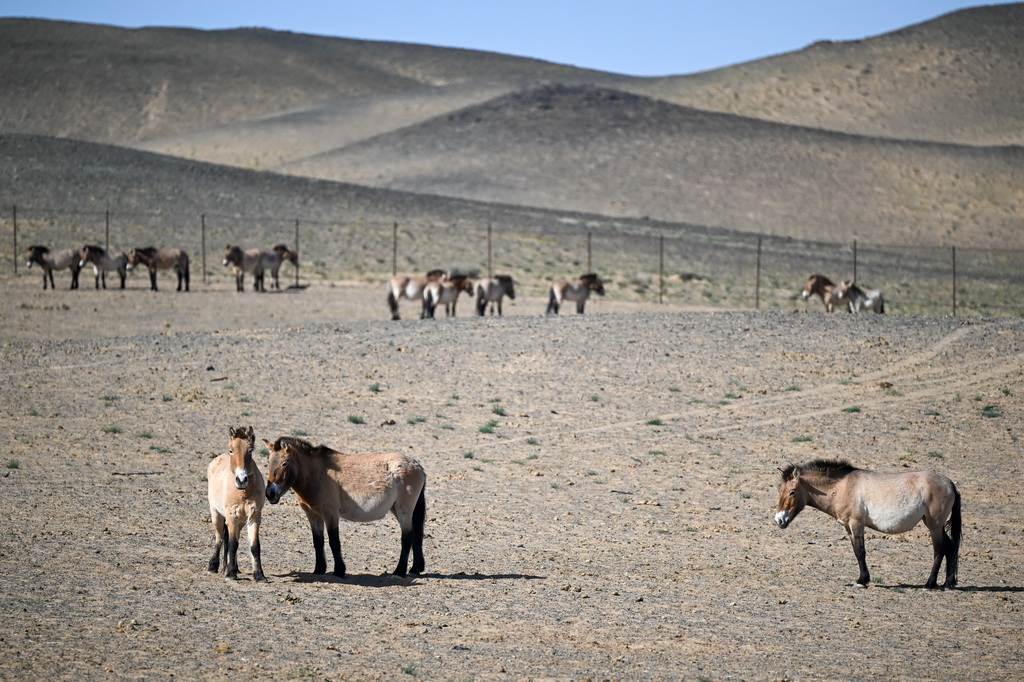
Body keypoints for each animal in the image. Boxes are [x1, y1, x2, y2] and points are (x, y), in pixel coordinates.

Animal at [207, 426, 266, 582]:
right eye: (231, 450)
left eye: (250, 450)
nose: (241, 480)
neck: (243, 492)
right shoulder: (232, 515)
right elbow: (232, 543)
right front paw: (230, 574)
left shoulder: (254, 516)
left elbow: (254, 546)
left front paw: (259, 575)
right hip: (216, 514)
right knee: (220, 538)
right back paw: (213, 566)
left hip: (240, 521)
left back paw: (233, 567)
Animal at [263, 436, 427, 578]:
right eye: (268, 462)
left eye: (285, 463)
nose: (270, 493)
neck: (317, 474)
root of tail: (417, 466)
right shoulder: (313, 515)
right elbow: (318, 541)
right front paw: (319, 570)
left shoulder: (330, 514)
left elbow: (334, 542)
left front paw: (339, 571)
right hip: (399, 510)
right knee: (416, 535)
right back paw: (415, 569)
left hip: (403, 510)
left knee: (407, 537)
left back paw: (399, 572)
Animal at [774, 458, 961, 589]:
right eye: (780, 491)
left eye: (792, 492)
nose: (779, 520)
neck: (843, 486)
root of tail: (950, 484)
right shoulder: (848, 526)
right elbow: (856, 552)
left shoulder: (856, 524)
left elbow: (860, 552)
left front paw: (861, 581)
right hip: (935, 525)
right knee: (950, 546)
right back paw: (947, 583)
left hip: (934, 526)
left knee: (939, 550)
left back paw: (929, 584)